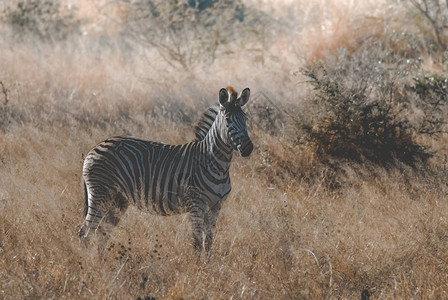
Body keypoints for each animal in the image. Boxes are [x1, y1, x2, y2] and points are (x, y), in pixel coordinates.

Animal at [79, 85, 252, 256]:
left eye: (245, 119)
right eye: (228, 120)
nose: (247, 148)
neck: (215, 164)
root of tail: (95, 147)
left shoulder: (216, 206)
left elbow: (208, 242)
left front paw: (208, 264)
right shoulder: (196, 204)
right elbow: (197, 243)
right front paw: (197, 265)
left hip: (117, 199)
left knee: (102, 232)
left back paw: (102, 261)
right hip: (100, 194)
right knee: (86, 233)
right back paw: (87, 262)